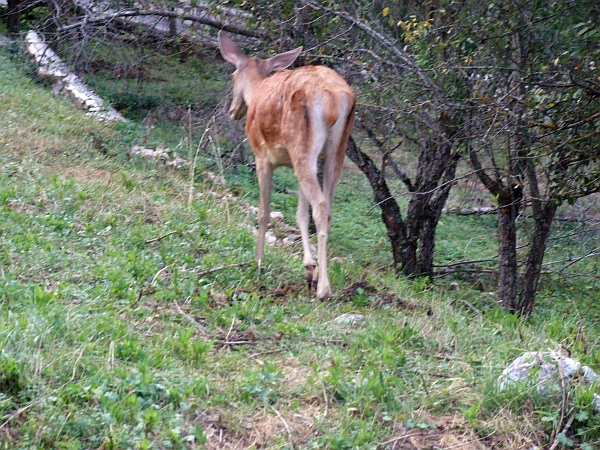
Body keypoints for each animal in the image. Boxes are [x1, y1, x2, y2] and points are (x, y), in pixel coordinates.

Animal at [218, 30, 354, 298]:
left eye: (232, 74)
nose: (232, 110)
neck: (257, 90)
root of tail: (334, 99)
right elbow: (300, 214)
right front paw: (309, 267)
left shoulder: (262, 156)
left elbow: (263, 211)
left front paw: (258, 262)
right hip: (334, 151)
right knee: (327, 208)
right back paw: (320, 279)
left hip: (302, 144)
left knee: (320, 205)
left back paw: (324, 289)